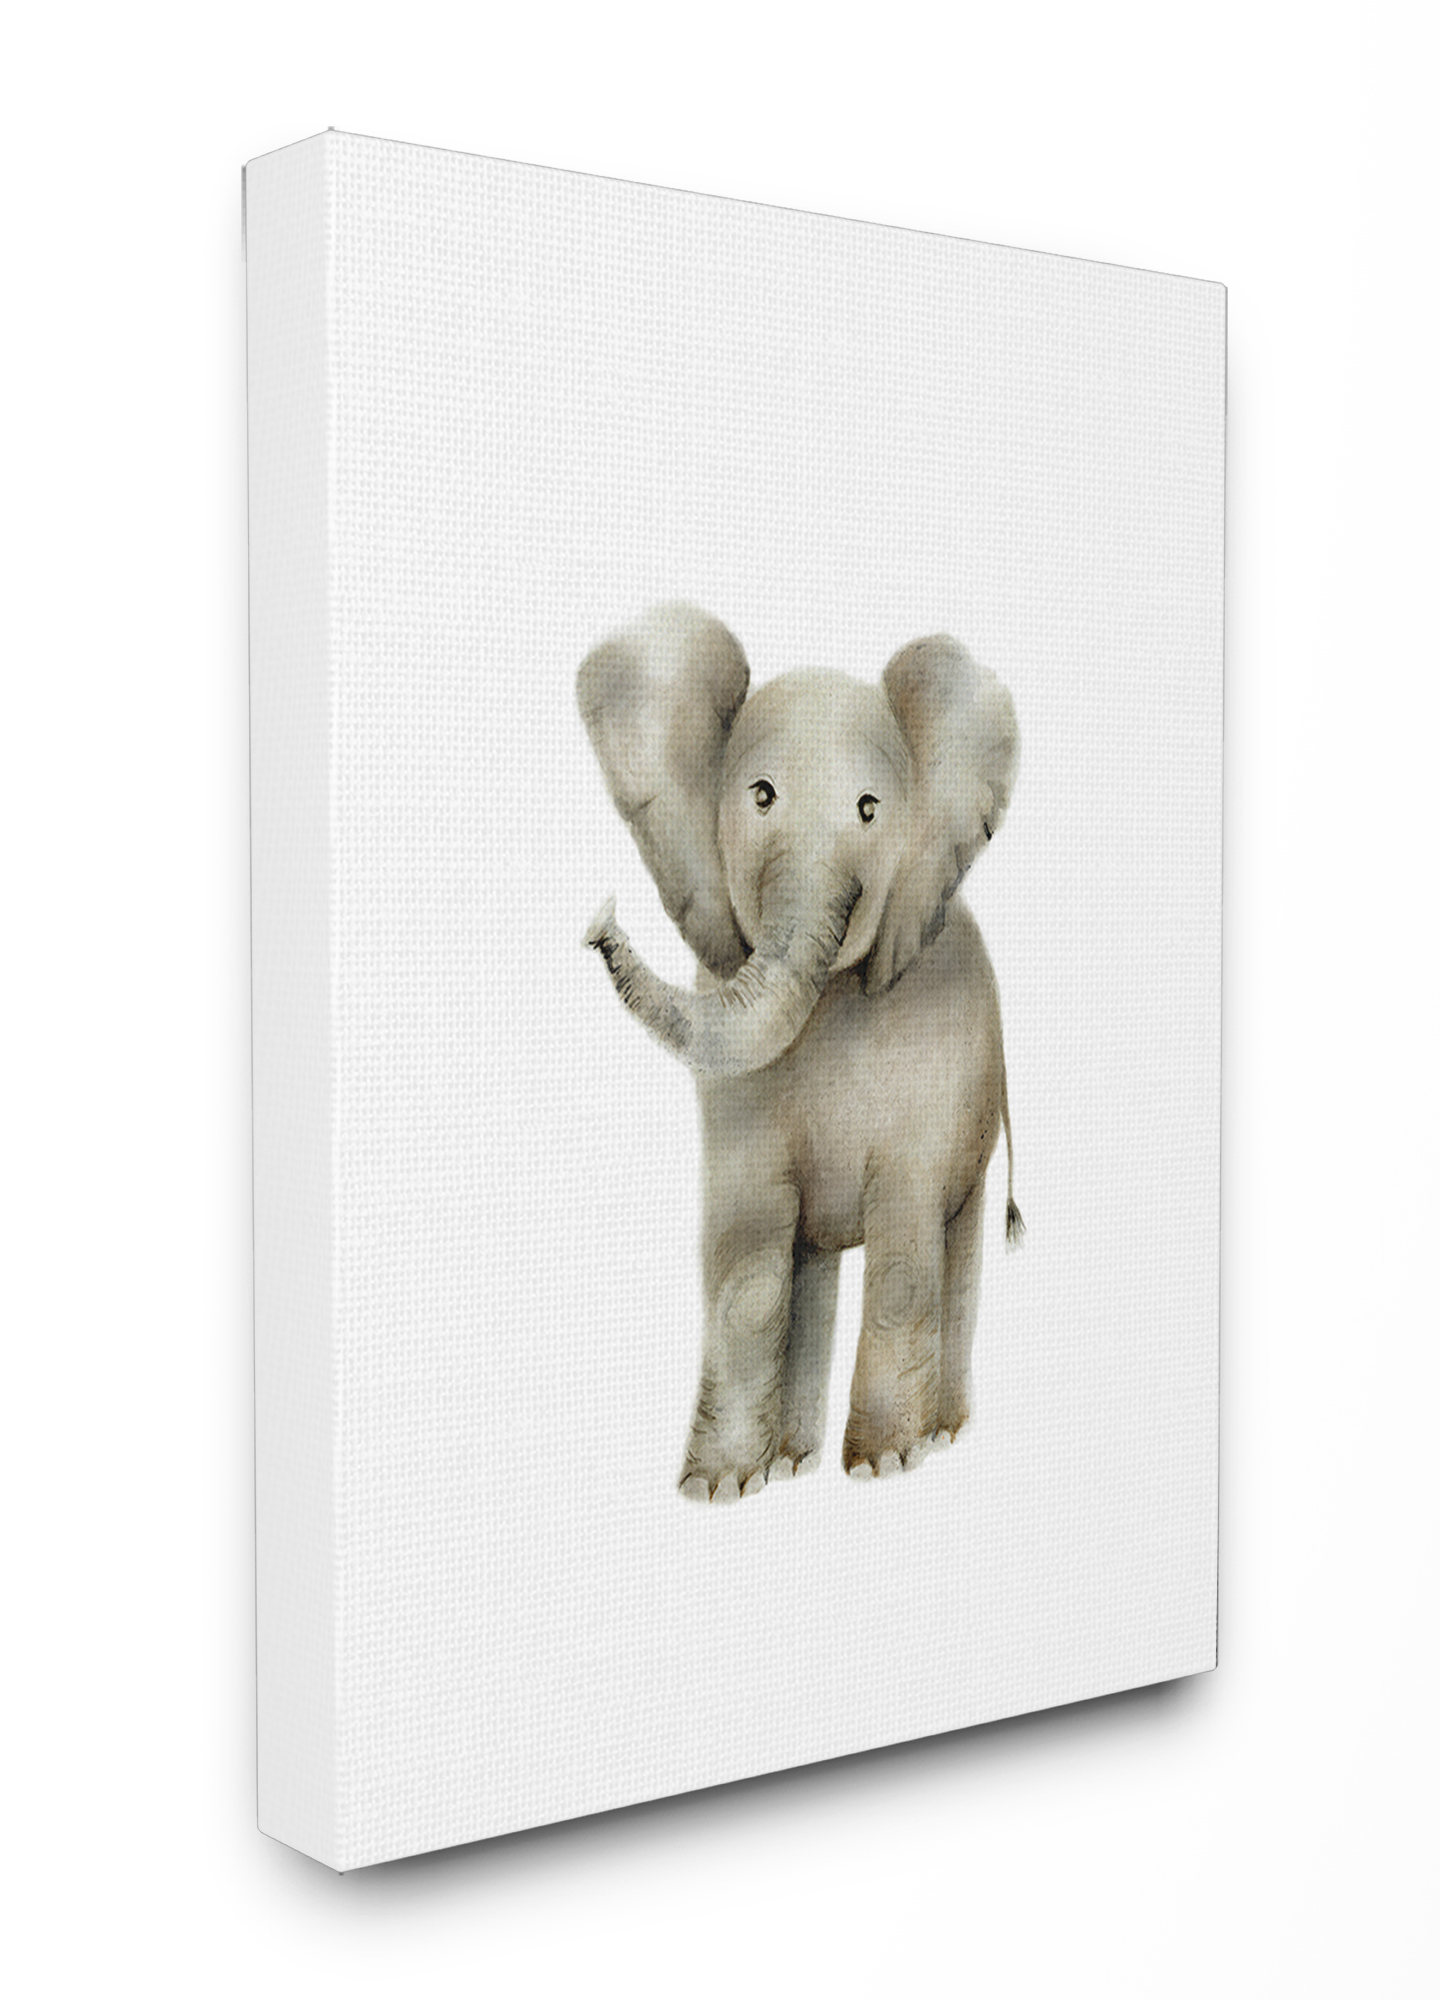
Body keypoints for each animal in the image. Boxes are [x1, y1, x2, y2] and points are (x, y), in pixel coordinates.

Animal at [578, 603, 1023, 1501]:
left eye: (869, 810)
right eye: (760, 795)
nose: (597, 921)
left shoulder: (930, 1060)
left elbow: (903, 1249)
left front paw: (886, 1466)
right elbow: (749, 1255)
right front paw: (717, 1489)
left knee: (953, 1243)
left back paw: (943, 1436)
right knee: (807, 1260)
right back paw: (792, 1462)